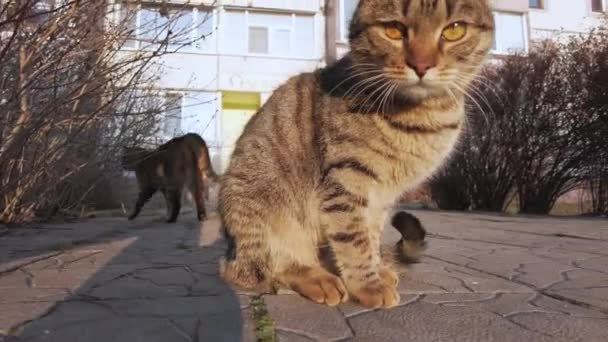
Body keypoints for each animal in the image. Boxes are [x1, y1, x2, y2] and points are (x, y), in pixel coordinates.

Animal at [218, 0, 494, 308]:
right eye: (393, 30)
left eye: (454, 30)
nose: (422, 65)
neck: (420, 118)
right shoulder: (347, 180)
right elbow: (353, 239)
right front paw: (367, 285)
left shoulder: (381, 197)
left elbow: (370, 237)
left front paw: (376, 270)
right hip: (260, 205)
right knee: (264, 265)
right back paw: (317, 278)